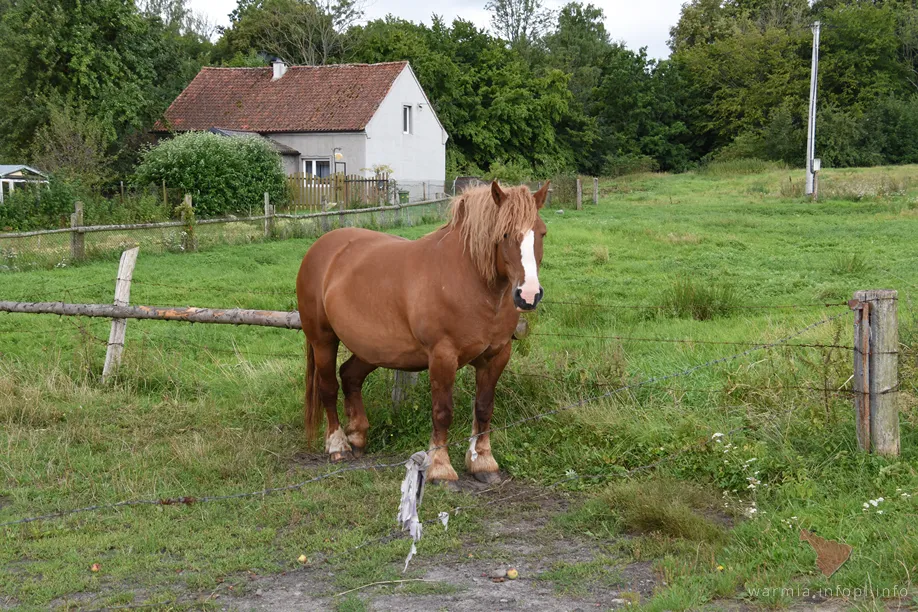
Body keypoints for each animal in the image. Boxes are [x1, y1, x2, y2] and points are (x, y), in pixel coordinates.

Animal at [298, 179, 548, 486]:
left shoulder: (497, 355)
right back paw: (338, 445)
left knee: (349, 376)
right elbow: (443, 412)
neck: (470, 281)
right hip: (323, 340)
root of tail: (322, 248)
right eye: (504, 233)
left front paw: (483, 462)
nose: (529, 295)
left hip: (373, 349)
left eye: (542, 233)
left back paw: (357, 436)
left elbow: (484, 407)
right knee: (328, 387)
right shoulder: (442, 356)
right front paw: (440, 468)